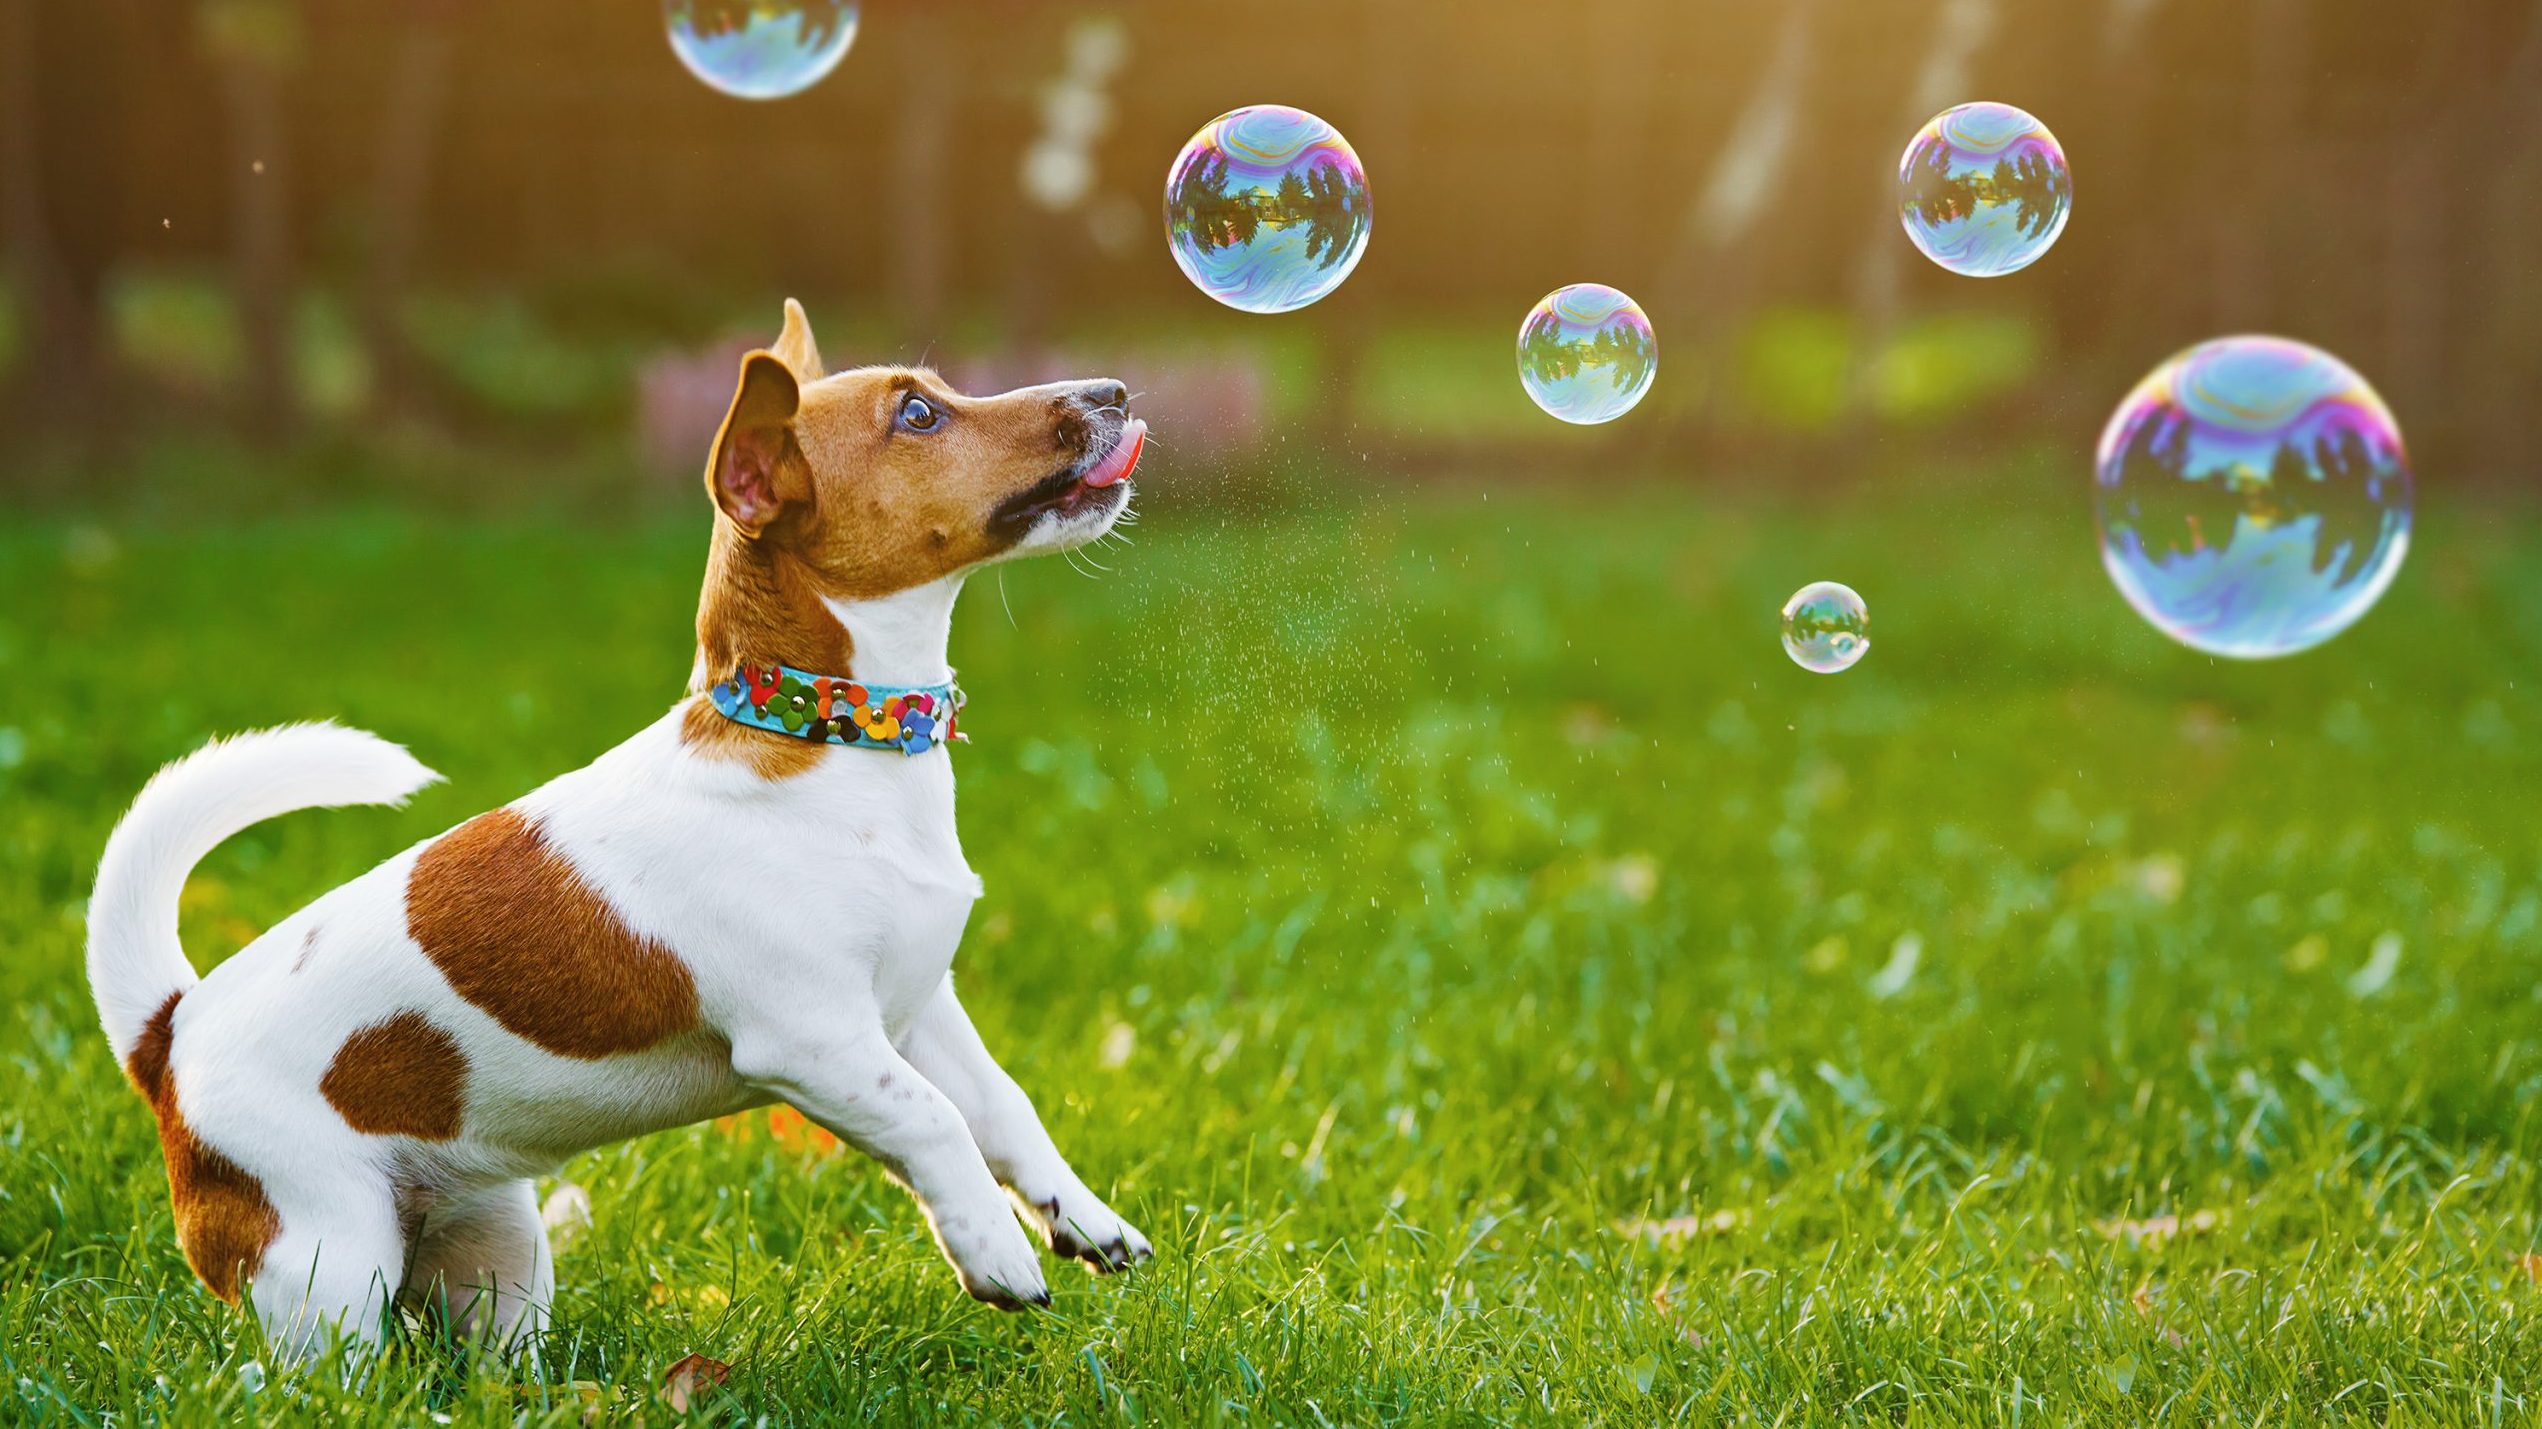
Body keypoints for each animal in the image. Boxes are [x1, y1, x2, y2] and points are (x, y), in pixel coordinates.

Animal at [81, 302, 1154, 1352]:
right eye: (918, 415)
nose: (1115, 389)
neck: (825, 734)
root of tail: (168, 1034)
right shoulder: (817, 1044)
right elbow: (934, 1123)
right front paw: (995, 1252)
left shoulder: (918, 1010)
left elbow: (1002, 1108)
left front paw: (1083, 1218)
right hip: (330, 1267)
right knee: (317, 1375)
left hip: (498, 1250)